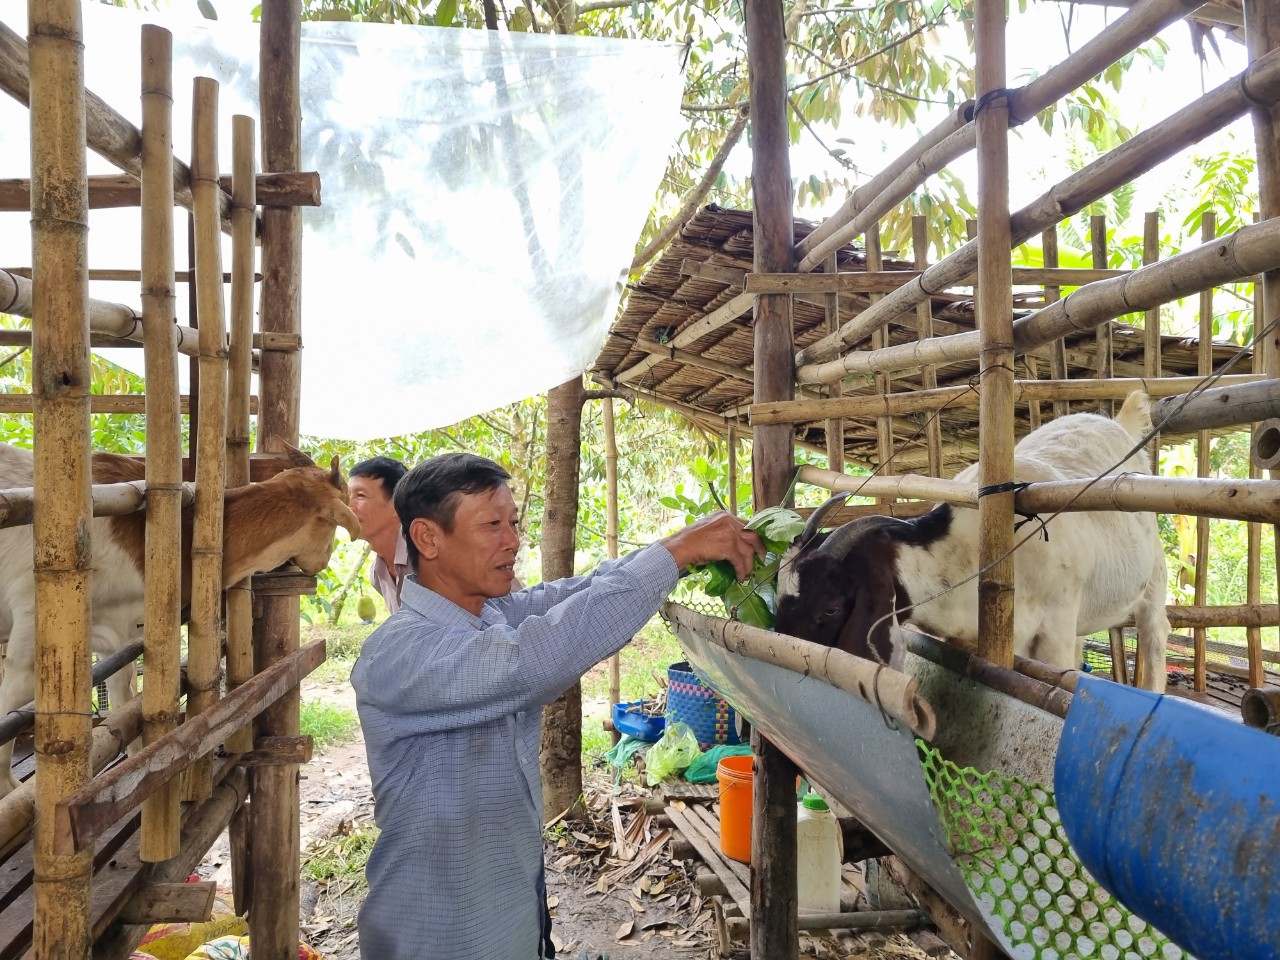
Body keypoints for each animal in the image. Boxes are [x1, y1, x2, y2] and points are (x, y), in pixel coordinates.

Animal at [0, 442, 360, 798]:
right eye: (333, 522)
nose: (321, 563)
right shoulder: (29, 634)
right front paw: (8, 787)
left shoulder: (117, 636)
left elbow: (124, 707)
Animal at [773, 391, 1172, 691]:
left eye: (831, 607)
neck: (968, 551)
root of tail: (1119, 422)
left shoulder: (1054, 629)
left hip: (1153, 582)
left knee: (1155, 635)